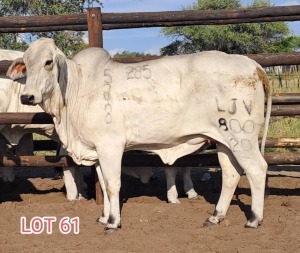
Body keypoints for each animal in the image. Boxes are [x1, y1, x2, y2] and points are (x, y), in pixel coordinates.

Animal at [7, 37, 270, 233]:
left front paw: (113, 222)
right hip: (224, 140)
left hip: (242, 137)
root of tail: (252, 65)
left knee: (257, 169)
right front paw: (104, 217)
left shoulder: (110, 145)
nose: (27, 97)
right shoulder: (97, 149)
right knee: (230, 174)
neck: (78, 89)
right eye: (26, 64)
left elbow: (113, 184)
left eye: (48, 62)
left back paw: (254, 219)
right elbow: (103, 183)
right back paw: (216, 216)